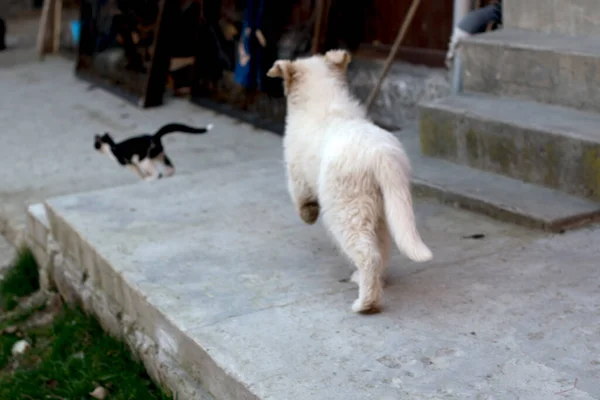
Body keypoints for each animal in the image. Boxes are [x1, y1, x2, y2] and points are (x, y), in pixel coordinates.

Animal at [268, 49, 432, 312]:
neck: (325, 100)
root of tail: (381, 155)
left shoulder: (296, 174)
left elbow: (301, 199)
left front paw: (308, 215)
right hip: (384, 209)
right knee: (381, 251)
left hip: (348, 209)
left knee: (368, 255)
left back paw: (366, 303)